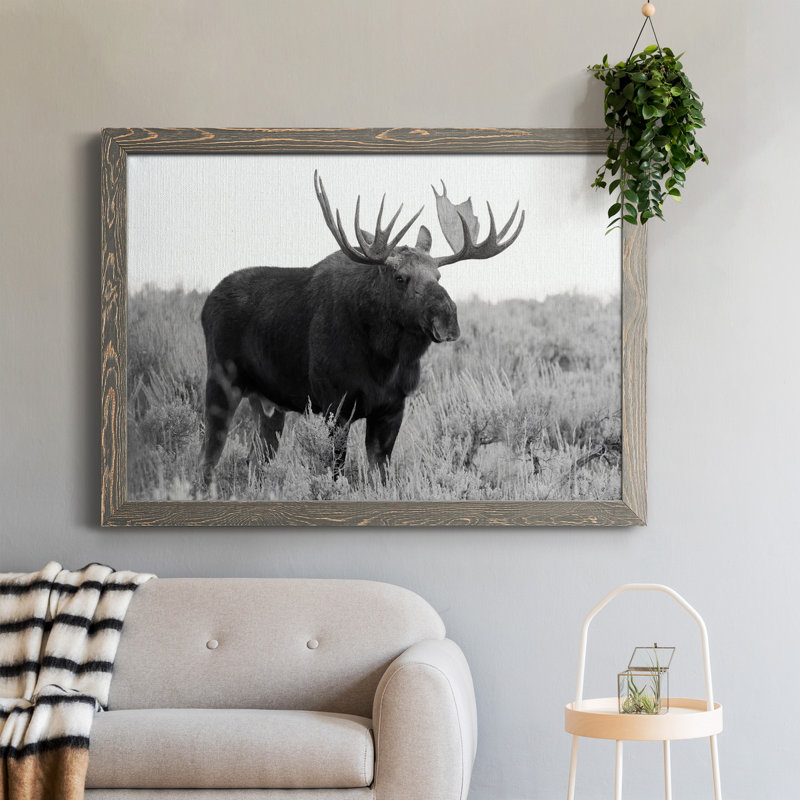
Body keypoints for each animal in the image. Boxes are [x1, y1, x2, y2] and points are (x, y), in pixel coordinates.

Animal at [199, 172, 524, 485]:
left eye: (438, 275)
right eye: (400, 277)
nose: (447, 318)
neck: (384, 360)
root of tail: (206, 304)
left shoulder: (392, 408)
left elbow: (380, 475)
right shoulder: (336, 405)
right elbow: (336, 472)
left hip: (268, 403)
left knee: (256, 460)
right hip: (221, 383)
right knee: (208, 457)